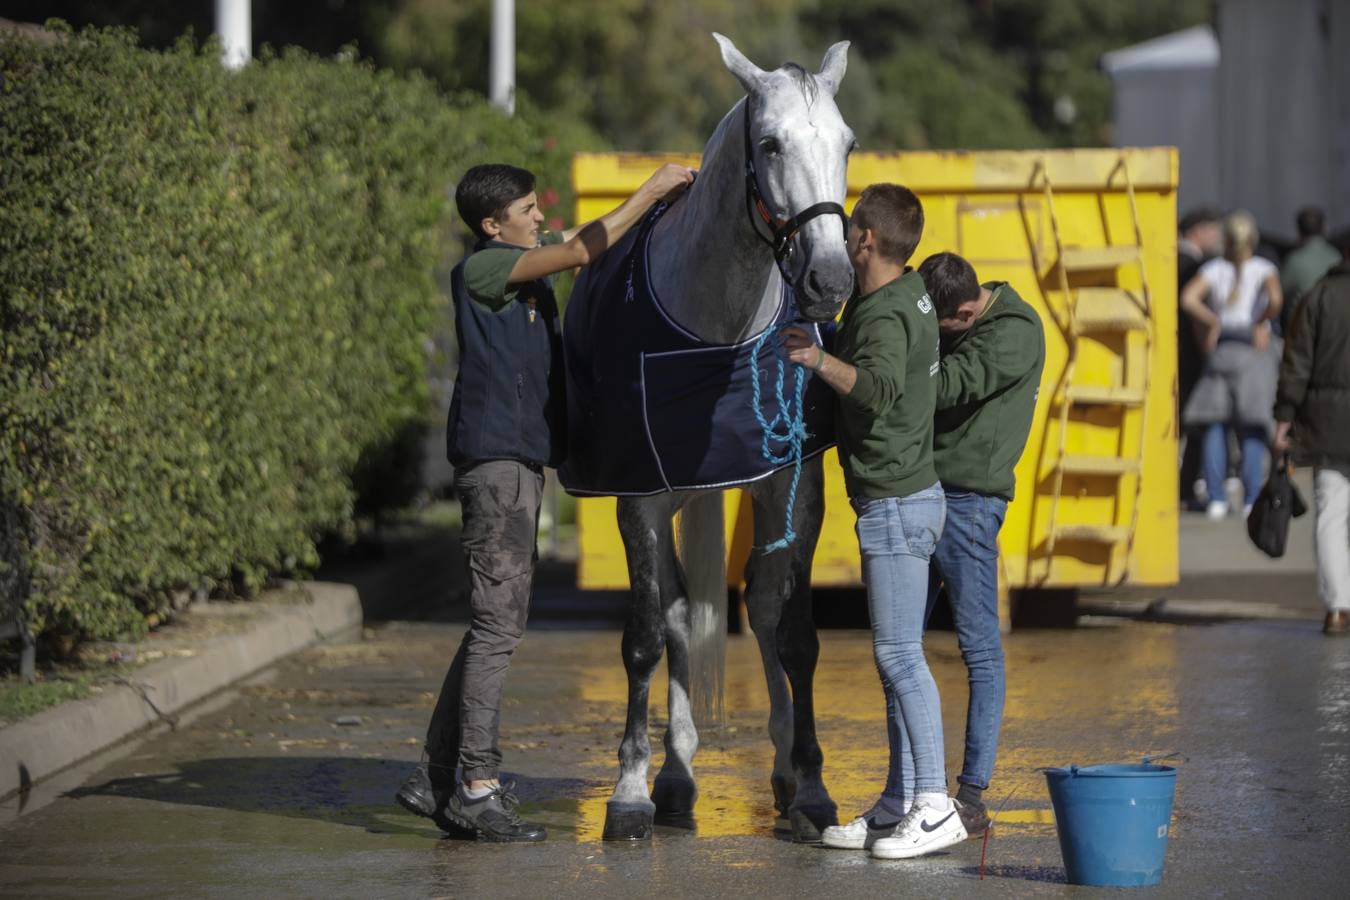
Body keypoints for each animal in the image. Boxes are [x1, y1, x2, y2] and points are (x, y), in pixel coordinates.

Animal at [561, 33, 857, 842]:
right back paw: (673, 775)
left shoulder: (792, 485)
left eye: (847, 143)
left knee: (755, 611)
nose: (828, 279)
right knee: (676, 617)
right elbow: (643, 636)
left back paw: (779, 772)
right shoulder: (639, 495)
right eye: (771, 143)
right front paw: (630, 788)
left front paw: (811, 786)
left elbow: (793, 634)